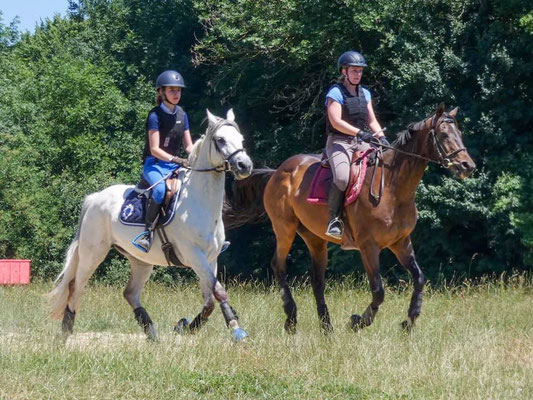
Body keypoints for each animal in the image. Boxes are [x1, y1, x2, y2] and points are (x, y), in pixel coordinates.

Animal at [47, 108, 251, 340]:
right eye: (220, 139)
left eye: (241, 139)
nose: (245, 165)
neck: (200, 202)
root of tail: (95, 197)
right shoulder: (194, 255)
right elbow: (219, 292)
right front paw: (236, 329)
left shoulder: (210, 258)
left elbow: (210, 300)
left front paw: (187, 326)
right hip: (93, 254)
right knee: (76, 287)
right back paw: (66, 331)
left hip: (140, 260)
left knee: (130, 293)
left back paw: (151, 331)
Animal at [223, 101, 474, 332]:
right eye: (443, 134)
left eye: (460, 134)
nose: (467, 166)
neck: (393, 187)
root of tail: (278, 171)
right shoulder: (368, 246)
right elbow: (378, 290)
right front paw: (358, 321)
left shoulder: (401, 242)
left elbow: (419, 279)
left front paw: (409, 321)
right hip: (284, 228)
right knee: (279, 266)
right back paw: (291, 319)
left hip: (314, 238)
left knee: (317, 280)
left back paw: (326, 326)